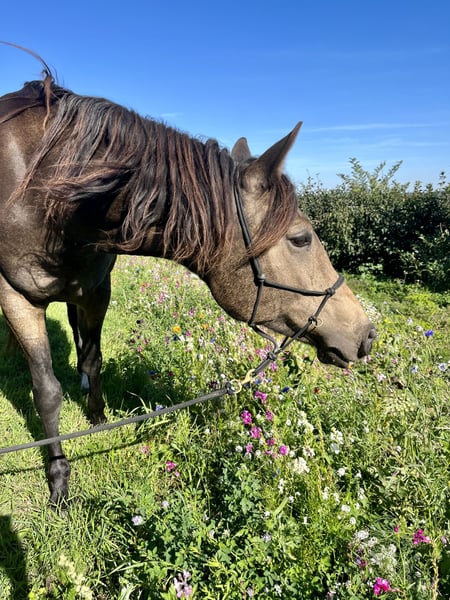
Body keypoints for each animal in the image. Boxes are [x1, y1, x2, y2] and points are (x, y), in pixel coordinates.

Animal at [0, 60, 376, 505]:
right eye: (301, 238)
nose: (367, 333)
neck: (50, 194)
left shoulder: (96, 290)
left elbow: (93, 358)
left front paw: (96, 416)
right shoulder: (17, 298)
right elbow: (46, 391)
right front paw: (58, 477)